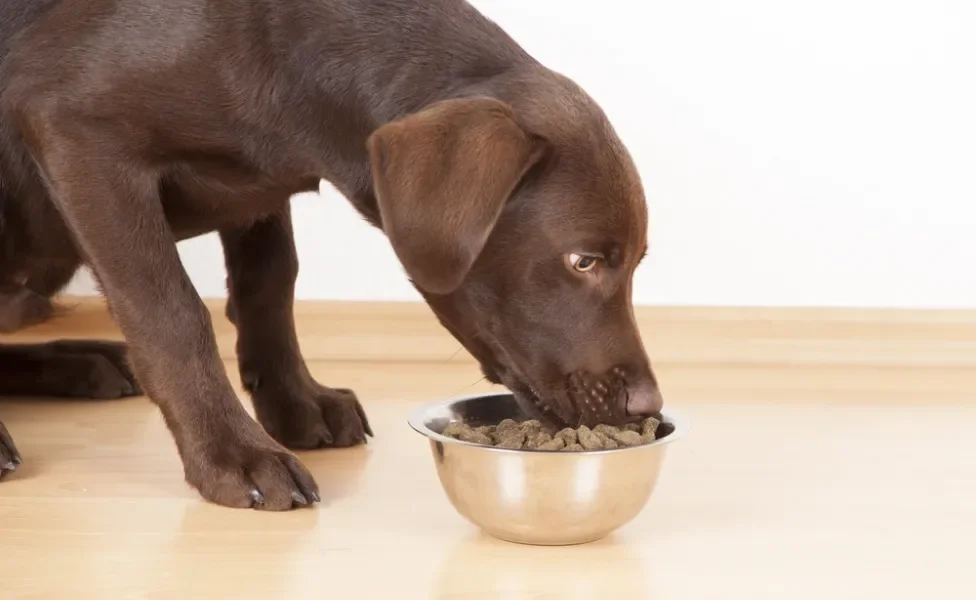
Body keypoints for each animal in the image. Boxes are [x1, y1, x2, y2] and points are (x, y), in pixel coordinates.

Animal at [0, 0, 664, 508]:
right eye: (583, 261)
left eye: (634, 263)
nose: (649, 405)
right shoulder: (78, 131)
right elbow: (172, 312)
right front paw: (234, 454)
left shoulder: (258, 188)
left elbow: (271, 283)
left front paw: (297, 403)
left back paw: (88, 362)